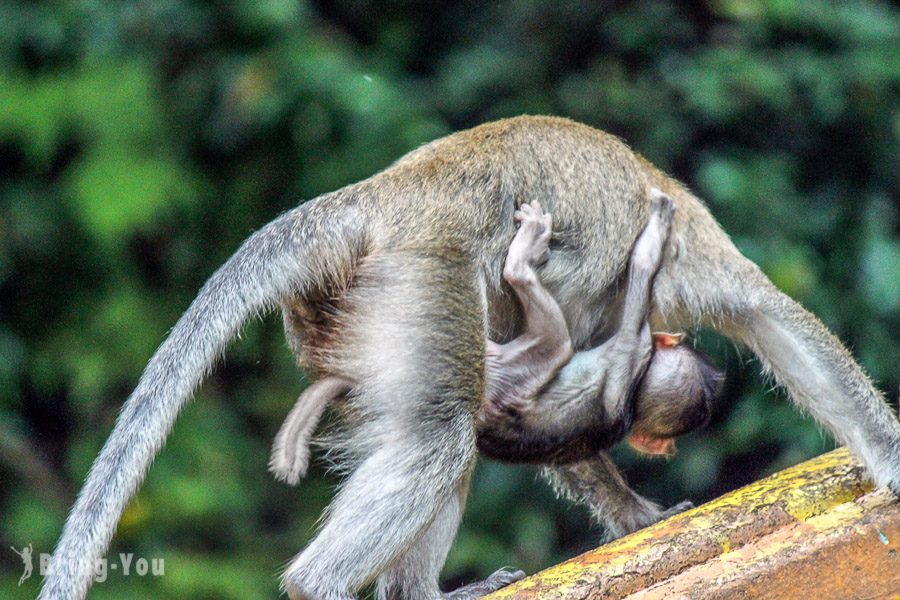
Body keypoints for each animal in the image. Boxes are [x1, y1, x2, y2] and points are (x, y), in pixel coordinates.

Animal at [268, 192, 724, 488]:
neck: (636, 393)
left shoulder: (630, 356)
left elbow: (629, 314)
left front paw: (654, 238)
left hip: (502, 371)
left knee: (554, 341)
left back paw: (521, 261)